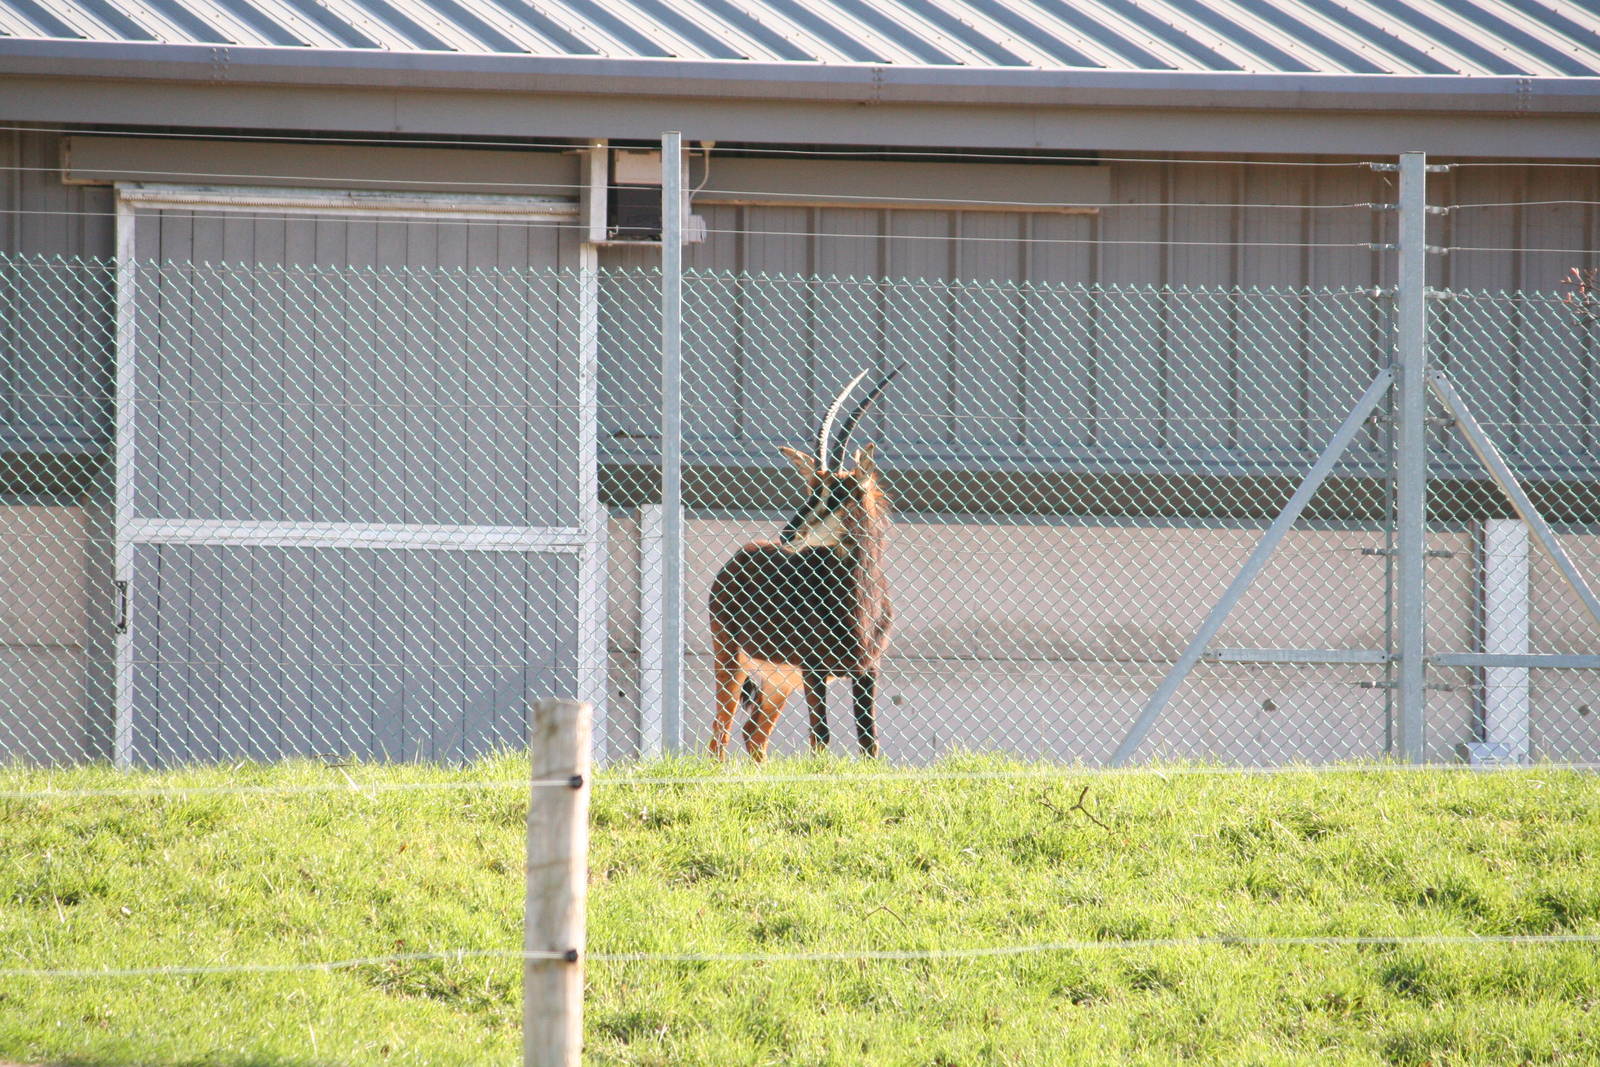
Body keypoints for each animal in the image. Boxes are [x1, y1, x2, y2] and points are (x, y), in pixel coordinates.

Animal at [708, 366, 900, 761]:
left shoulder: (867, 670)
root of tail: (735, 561)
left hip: (779, 681)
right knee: (720, 735)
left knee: (754, 735)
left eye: (838, 494)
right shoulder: (813, 669)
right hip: (731, 663)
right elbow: (821, 738)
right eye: (813, 489)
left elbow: (869, 742)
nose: (788, 534)